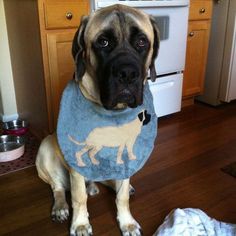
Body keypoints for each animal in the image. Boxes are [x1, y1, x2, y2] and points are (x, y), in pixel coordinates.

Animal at [36, 4, 159, 236]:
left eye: (141, 42)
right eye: (103, 42)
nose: (127, 74)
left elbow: (122, 197)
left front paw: (126, 221)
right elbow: (78, 197)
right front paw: (80, 224)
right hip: (46, 148)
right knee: (58, 187)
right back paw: (60, 207)